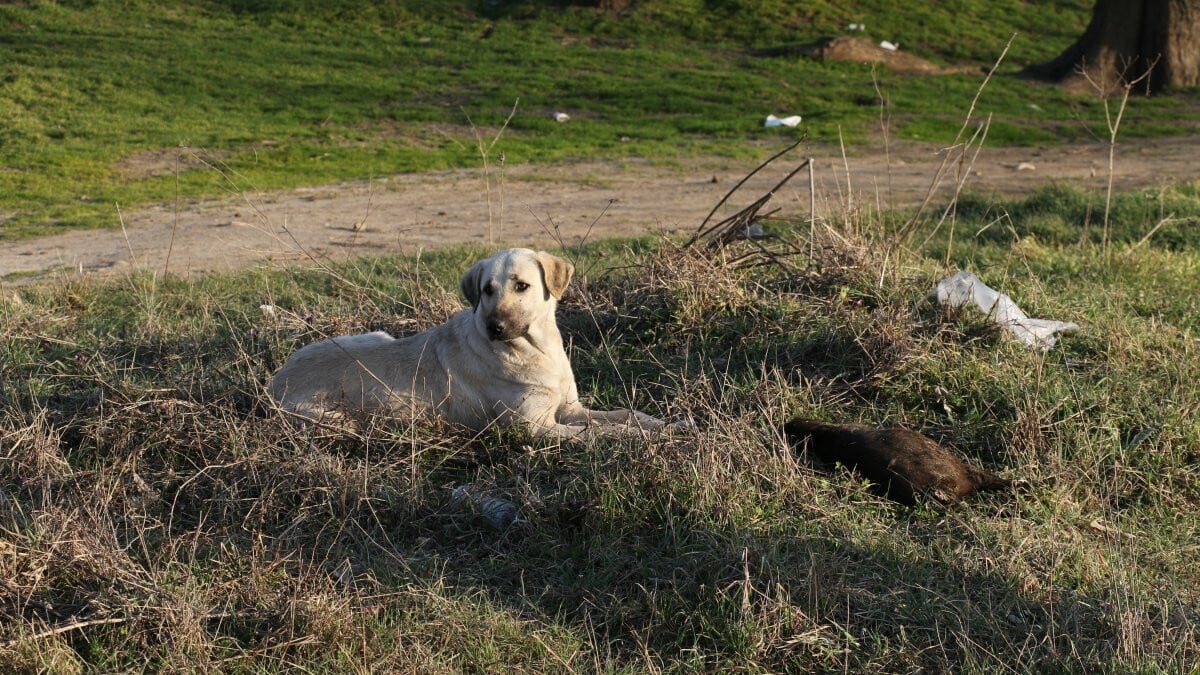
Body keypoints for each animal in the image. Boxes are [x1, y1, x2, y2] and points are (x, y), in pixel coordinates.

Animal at [267, 247, 672, 437]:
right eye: (486, 290)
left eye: (521, 285)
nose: (495, 327)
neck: (535, 351)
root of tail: (275, 381)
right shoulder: (534, 427)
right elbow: (598, 433)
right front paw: (633, 438)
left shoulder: (571, 408)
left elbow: (625, 415)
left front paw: (664, 425)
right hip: (332, 418)